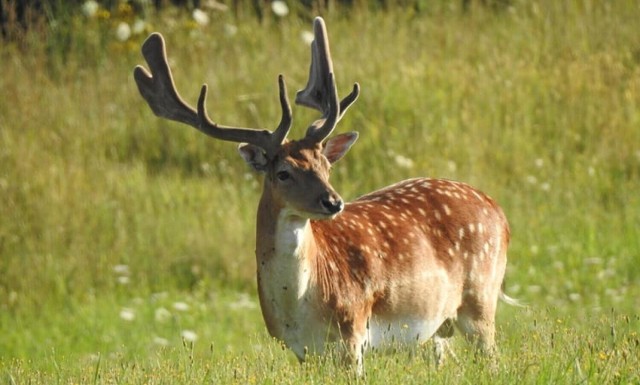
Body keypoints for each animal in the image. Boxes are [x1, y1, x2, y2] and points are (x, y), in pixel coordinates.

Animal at [132, 16, 516, 374]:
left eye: (325, 166)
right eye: (283, 173)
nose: (333, 202)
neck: (300, 307)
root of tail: (498, 210)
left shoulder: (353, 329)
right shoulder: (301, 350)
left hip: (480, 298)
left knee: (492, 357)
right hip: (438, 328)